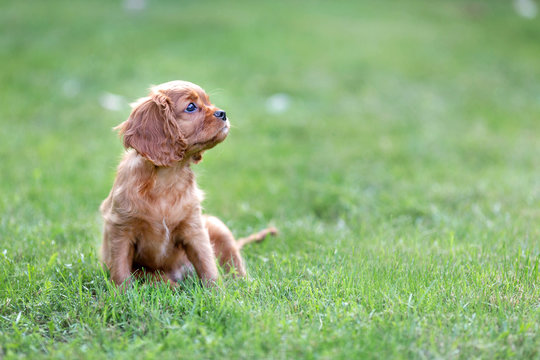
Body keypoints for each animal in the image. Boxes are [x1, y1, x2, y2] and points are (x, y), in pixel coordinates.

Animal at [100, 81, 278, 286]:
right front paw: (122, 292)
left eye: (208, 101)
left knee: (234, 264)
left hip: (217, 226)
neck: (167, 179)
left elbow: (207, 265)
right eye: (191, 107)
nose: (223, 113)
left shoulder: (194, 229)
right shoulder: (120, 229)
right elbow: (121, 269)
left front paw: (216, 291)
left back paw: (245, 285)